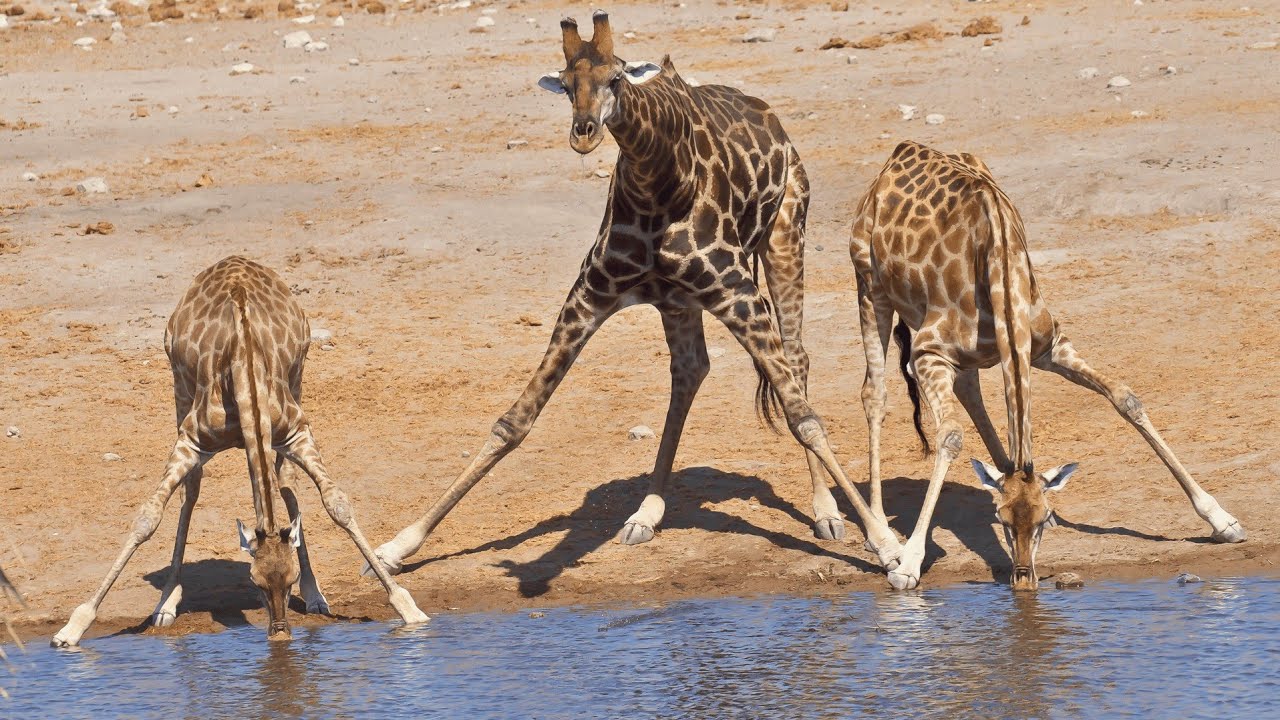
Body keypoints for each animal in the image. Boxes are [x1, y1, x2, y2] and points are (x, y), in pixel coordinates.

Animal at [51, 256, 427, 647]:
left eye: (290, 578)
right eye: (254, 582)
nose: (280, 635)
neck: (245, 374)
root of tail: (234, 260)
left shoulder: (297, 432)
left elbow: (336, 503)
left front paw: (407, 608)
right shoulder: (191, 440)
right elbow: (147, 518)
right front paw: (73, 627)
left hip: (298, 377)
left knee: (285, 479)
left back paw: (316, 595)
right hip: (179, 385)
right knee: (192, 489)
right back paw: (166, 602)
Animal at [364, 11, 904, 579]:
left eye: (615, 79)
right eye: (566, 83)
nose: (584, 134)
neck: (656, 185)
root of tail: (772, 117)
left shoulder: (737, 292)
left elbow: (804, 417)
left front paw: (887, 545)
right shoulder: (588, 296)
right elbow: (514, 421)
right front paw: (396, 546)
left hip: (784, 237)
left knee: (795, 362)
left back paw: (825, 511)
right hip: (677, 300)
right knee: (691, 369)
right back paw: (647, 511)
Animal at [851, 140, 1246, 591]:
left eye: (1043, 519)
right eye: (1003, 522)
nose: (1024, 581)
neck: (1000, 270)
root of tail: (897, 155)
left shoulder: (1047, 345)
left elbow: (1124, 396)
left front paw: (1221, 518)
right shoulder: (928, 353)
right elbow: (950, 436)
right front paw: (909, 563)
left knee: (970, 390)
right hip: (870, 286)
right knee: (875, 393)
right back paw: (881, 536)